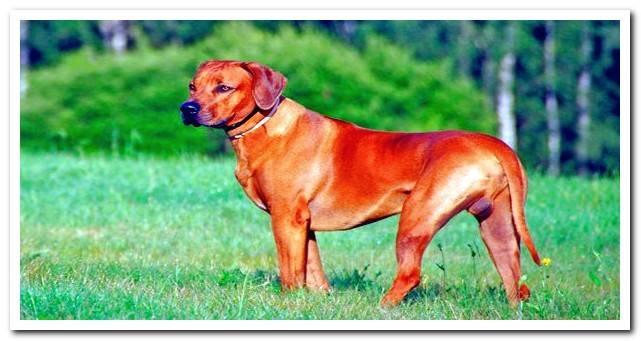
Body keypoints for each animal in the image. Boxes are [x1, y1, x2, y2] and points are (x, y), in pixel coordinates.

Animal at [181, 59, 540, 306]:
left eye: (224, 88)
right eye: (192, 86)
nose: (187, 108)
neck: (264, 128)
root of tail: (495, 144)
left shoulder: (285, 216)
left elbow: (290, 270)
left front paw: (288, 302)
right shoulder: (303, 223)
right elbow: (312, 268)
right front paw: (318, 300)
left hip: (417, 215)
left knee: (410, 273)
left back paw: (382, 307)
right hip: (497, 225)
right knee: (516, 280)